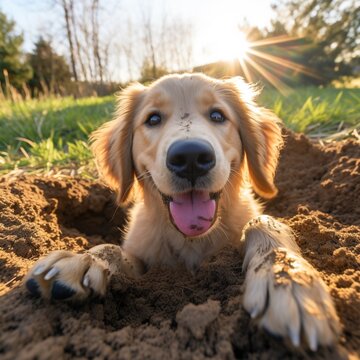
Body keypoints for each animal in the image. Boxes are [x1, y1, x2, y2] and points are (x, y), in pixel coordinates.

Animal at [24, 74, 340, 352]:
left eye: (217, 115)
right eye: (153, 119)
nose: (190, 157)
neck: (191, 241)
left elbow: (263, 222)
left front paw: (289, 281)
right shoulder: (146, 260)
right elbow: (114, 249)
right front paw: (83, 260)